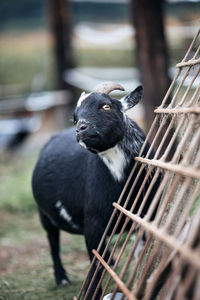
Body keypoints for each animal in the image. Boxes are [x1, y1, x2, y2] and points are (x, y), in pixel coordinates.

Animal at [32, 82, 161, 300]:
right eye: (75, 117)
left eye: (106, 106)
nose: (80, 129)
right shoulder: (92, 225)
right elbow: (96, 264)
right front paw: (93, 292)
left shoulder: (148, 218)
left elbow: (142, 254)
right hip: (44, 214)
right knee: (53, 242)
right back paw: (61, 278)